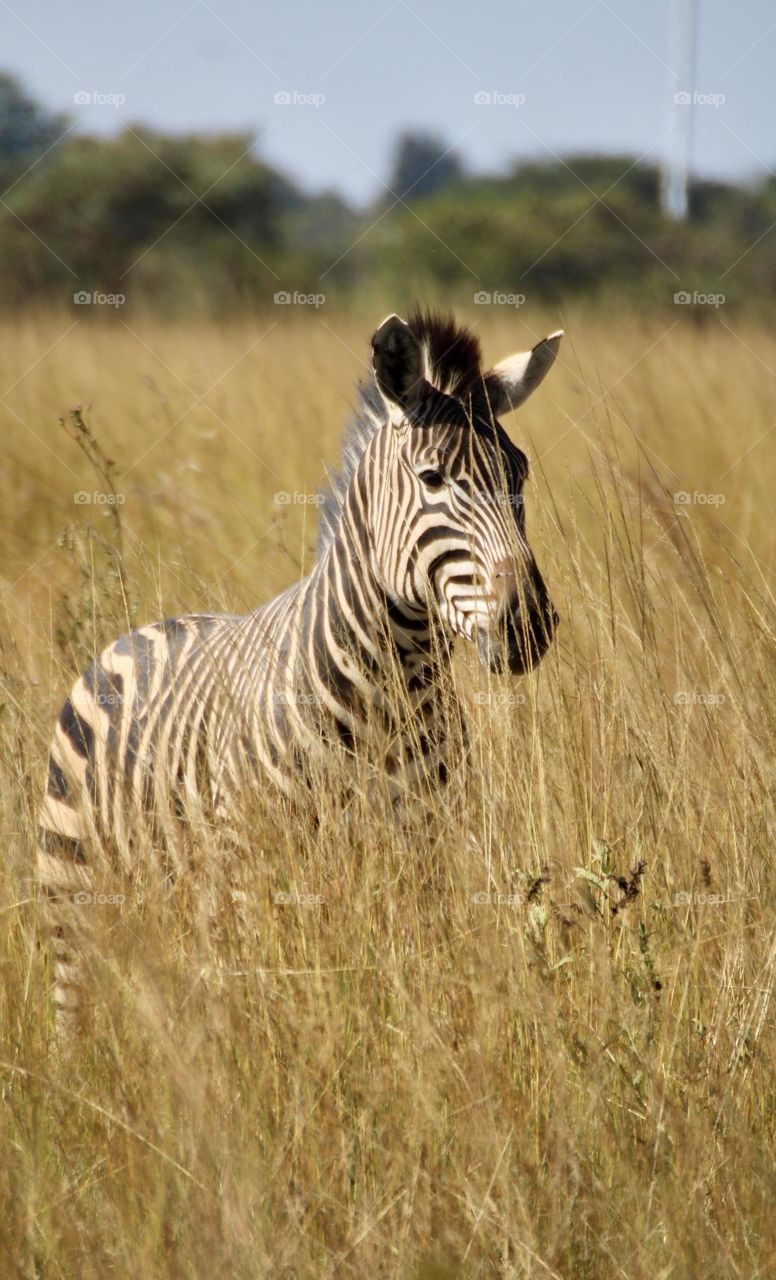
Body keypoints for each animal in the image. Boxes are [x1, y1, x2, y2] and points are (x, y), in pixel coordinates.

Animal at [38, 307, 562, 1016]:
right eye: (432, 479)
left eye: (520, 475)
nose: (527, 625)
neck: (393, 681)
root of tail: (139, 631)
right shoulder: (257, 870)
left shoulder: (423, 851)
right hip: (72, 889)